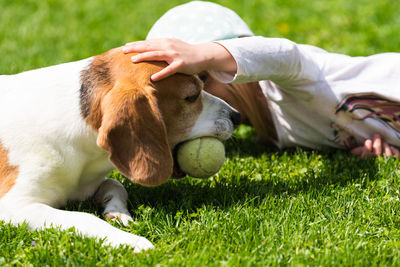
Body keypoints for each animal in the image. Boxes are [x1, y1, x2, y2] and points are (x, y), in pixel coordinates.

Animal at [0, 47, 239, 253]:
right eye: (191, 97)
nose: (237, 116)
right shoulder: (14, 205)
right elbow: (84, 217)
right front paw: (132, 242)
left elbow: (116, 185)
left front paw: (117, 212)